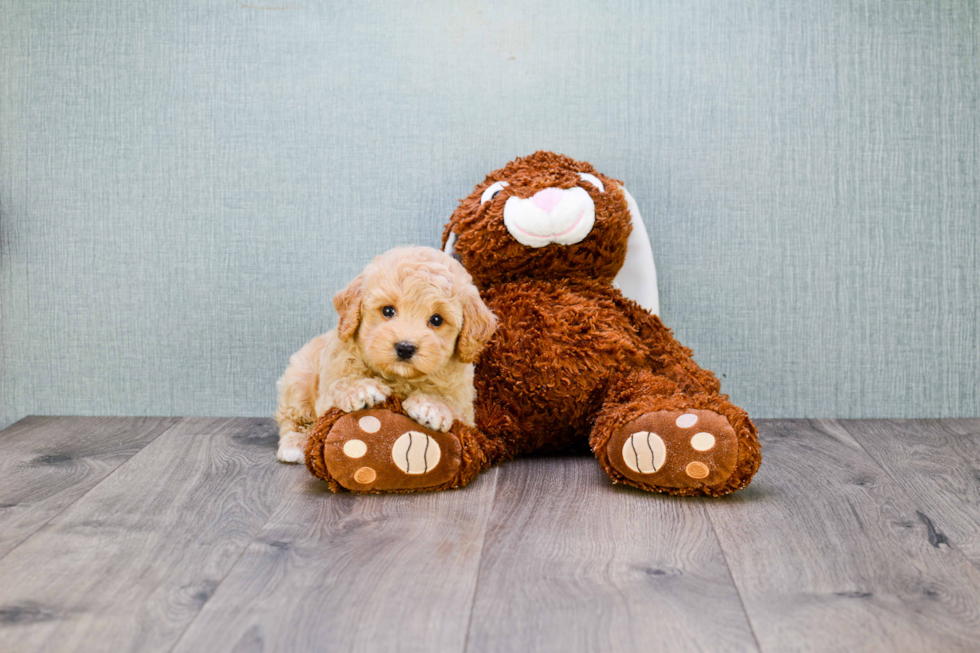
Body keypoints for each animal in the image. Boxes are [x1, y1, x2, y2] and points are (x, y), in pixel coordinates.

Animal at [274, 244, 498, 464]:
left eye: (437, 320)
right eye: (388, 311)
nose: (405, 347)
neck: (400, 378)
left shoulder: (465, 405)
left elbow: (453, 406)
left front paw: (431, 405)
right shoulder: (331, 381)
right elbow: (340, 385)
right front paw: (361, 389)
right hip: (298, 379)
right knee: (294, 420)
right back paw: (294, 445)